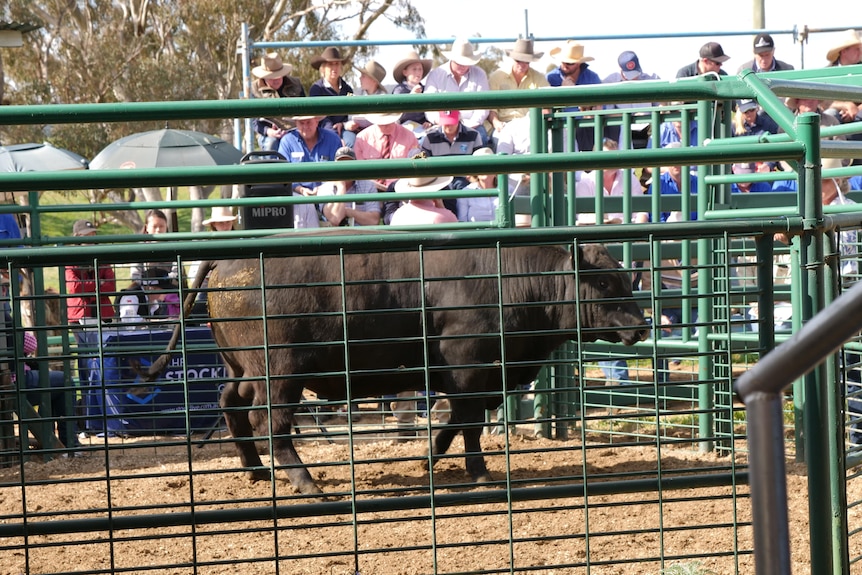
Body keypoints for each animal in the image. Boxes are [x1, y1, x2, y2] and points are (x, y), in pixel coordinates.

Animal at [147, 241, 648, 498]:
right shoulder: (468, 366)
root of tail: (231, 259)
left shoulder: (465, 375)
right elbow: (469, 422)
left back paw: (255, 470)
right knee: (269, 422)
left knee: (230, 404)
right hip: (280, 372)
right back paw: (306, 483)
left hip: (241, 368)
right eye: (606, 281)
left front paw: (428, 457)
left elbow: (455, 419)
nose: (642, 326)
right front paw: (479, 473)